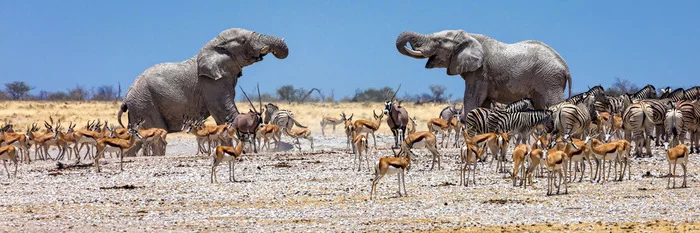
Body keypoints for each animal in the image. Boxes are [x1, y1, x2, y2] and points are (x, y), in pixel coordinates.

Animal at [119, 27, 288, 131]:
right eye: (243, 41)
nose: (269, 51)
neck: (214, 44)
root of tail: (126, 98)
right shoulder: (211, 83)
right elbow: (223, 109)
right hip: (145, 103)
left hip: (139, 105)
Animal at [396, 29, 572, 118]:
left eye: (439, 42)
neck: (469, 37)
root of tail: (566, 68)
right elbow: (483, 103)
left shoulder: (480, 72)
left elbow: (472, 98)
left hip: (549, 80)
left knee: (554, 104)